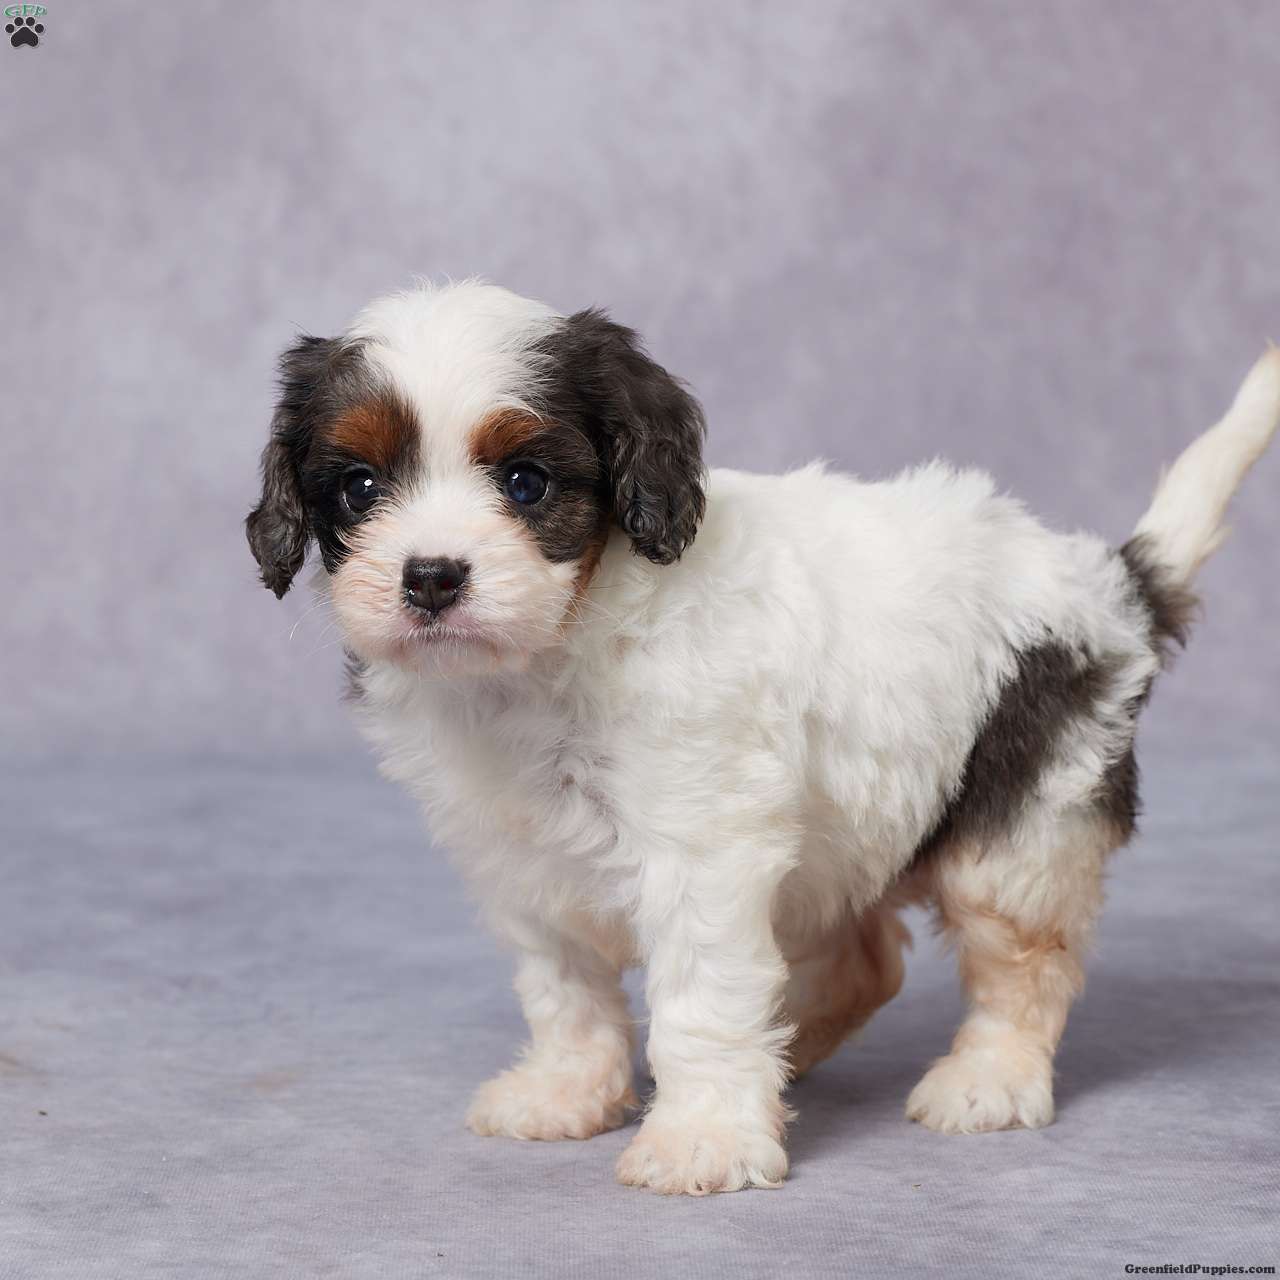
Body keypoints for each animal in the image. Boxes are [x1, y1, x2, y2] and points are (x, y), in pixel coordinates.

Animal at [246, 281, 1278, 1194]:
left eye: (525, 482)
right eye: (359, 488)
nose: (431, 576)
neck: (551, 654)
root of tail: (1112, 582)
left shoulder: (700, 848)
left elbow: (702, 998)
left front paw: (702, 1138)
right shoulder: (522, 864)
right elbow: (566, 989)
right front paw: (569, 1092)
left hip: (1024, 819)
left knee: (1021, 966)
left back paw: (989, 1079)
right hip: (849, 830)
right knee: (865, 962)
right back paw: (791, 1053)